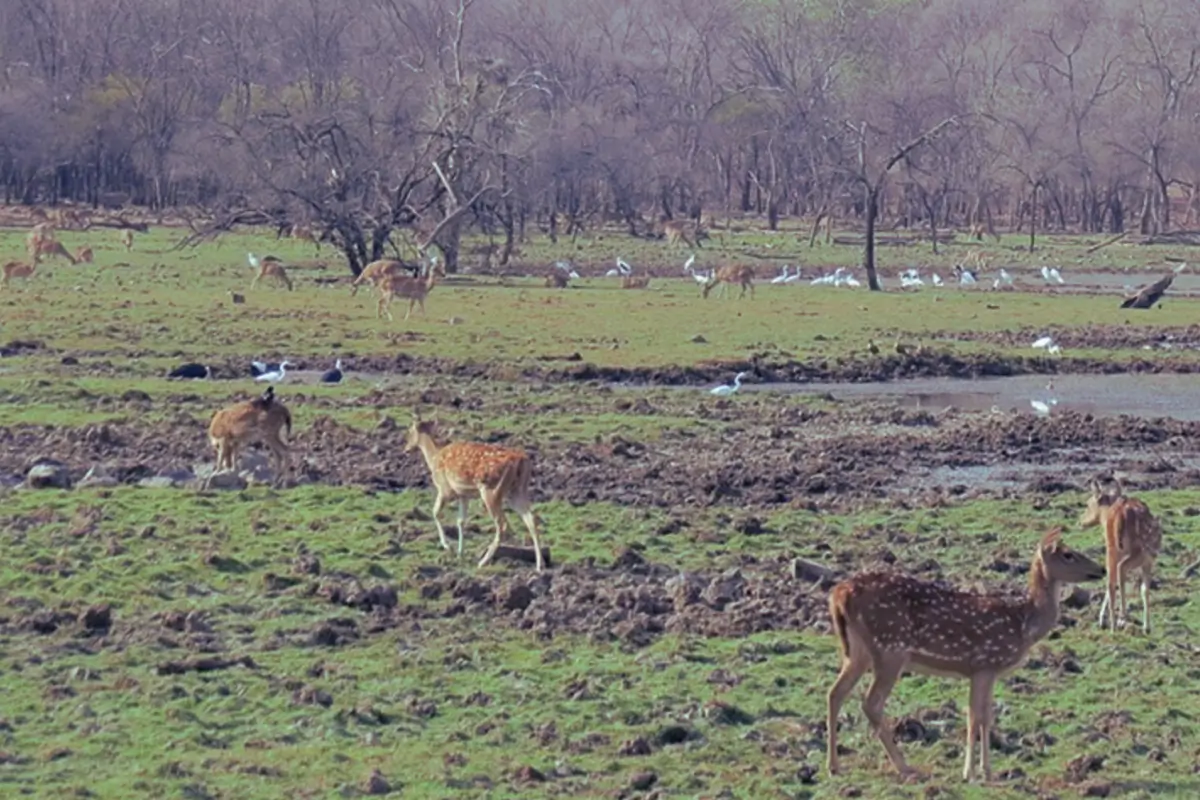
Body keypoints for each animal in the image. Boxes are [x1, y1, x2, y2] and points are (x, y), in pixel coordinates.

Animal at [408, 410, 549, 573]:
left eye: (409, 430)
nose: (406, 447)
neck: (433, 458)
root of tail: (523, 461)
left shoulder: (445, 489)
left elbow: (435, 512)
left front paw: (448, 546)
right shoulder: (463, 494)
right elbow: (461, 520)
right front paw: (460, 553)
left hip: (491, 491)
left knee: (503, 525)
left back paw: (483, 561)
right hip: (517, 491)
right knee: (531, 519)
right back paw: (540, 565)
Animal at [830, 527, 1099, 786]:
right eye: (1068, 554)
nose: (1101, 569)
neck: (1023, 626)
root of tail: (839, 594)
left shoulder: (986, 671)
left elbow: (986, 717)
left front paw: (987, 771)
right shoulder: (984, 663)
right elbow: (974, 717)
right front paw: (969, 773)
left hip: (857, 651)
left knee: (835, 693)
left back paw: (834, 766)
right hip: (891, 647)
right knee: (871, 703)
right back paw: (905, 767)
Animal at [1080, 479, 1161, 633]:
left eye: (1087, 503)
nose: (1080, 522)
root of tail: (1121, 516)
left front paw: (1102, 620)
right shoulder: (1148, 560)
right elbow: (1144, 589)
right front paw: (1146, 626)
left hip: (1115, 548)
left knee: (1112, 578)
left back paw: (1114, 624)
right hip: (1141, 552)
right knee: (1119, 572)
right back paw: (1121, 620)